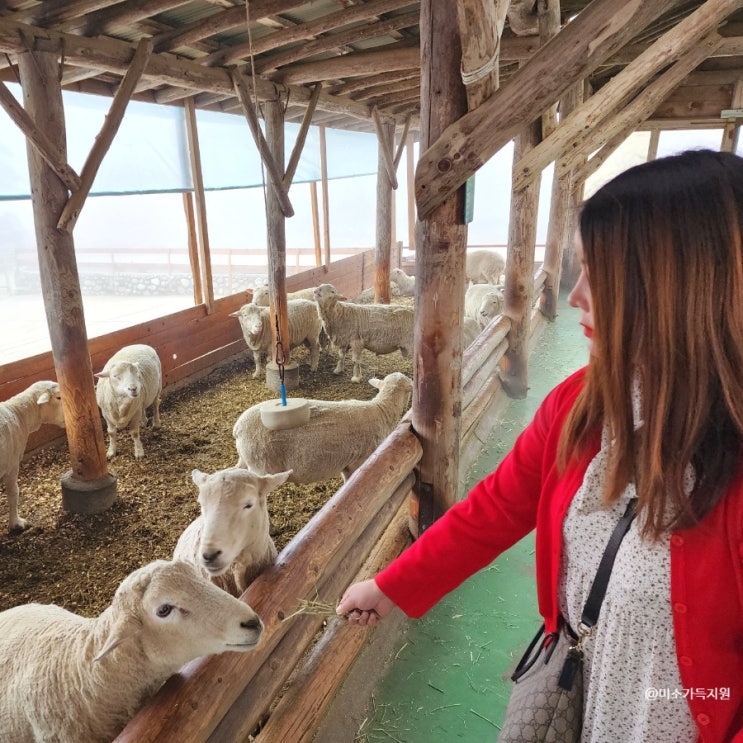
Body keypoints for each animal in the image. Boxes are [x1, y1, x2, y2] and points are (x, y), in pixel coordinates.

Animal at [234, 370, 412, 486]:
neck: (383, 409)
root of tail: (237, 428)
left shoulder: (348, 463)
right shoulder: (360, 460)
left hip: (246, 458)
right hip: (260, 463)